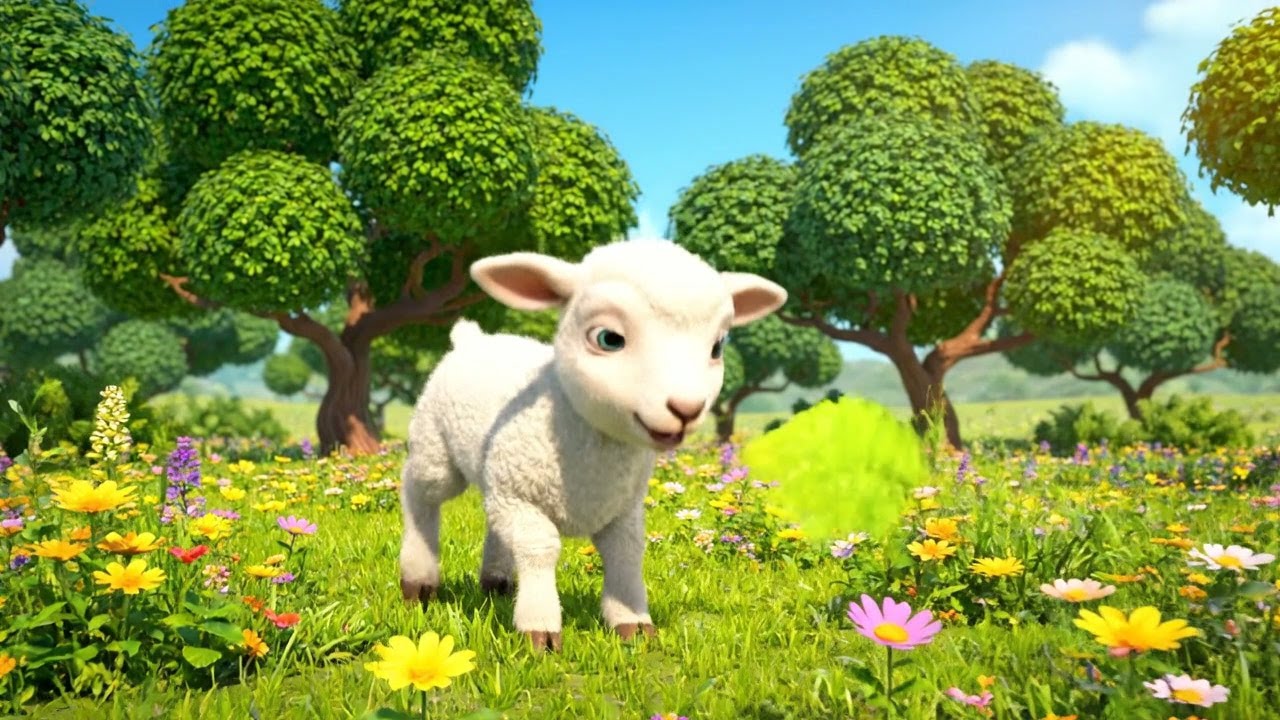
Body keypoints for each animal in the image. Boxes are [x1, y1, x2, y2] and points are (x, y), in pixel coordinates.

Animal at [398, 238, 787, 650]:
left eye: (716, 348)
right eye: (608, 339)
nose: (686, 408)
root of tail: (474, 339)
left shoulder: (620, 508)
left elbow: (627, 553)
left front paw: (633, 623)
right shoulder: (520, 498)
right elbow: (541, 548)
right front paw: (540, 629)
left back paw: (497, 582)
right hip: (437, 449)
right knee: (418, 493)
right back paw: (418, 582)